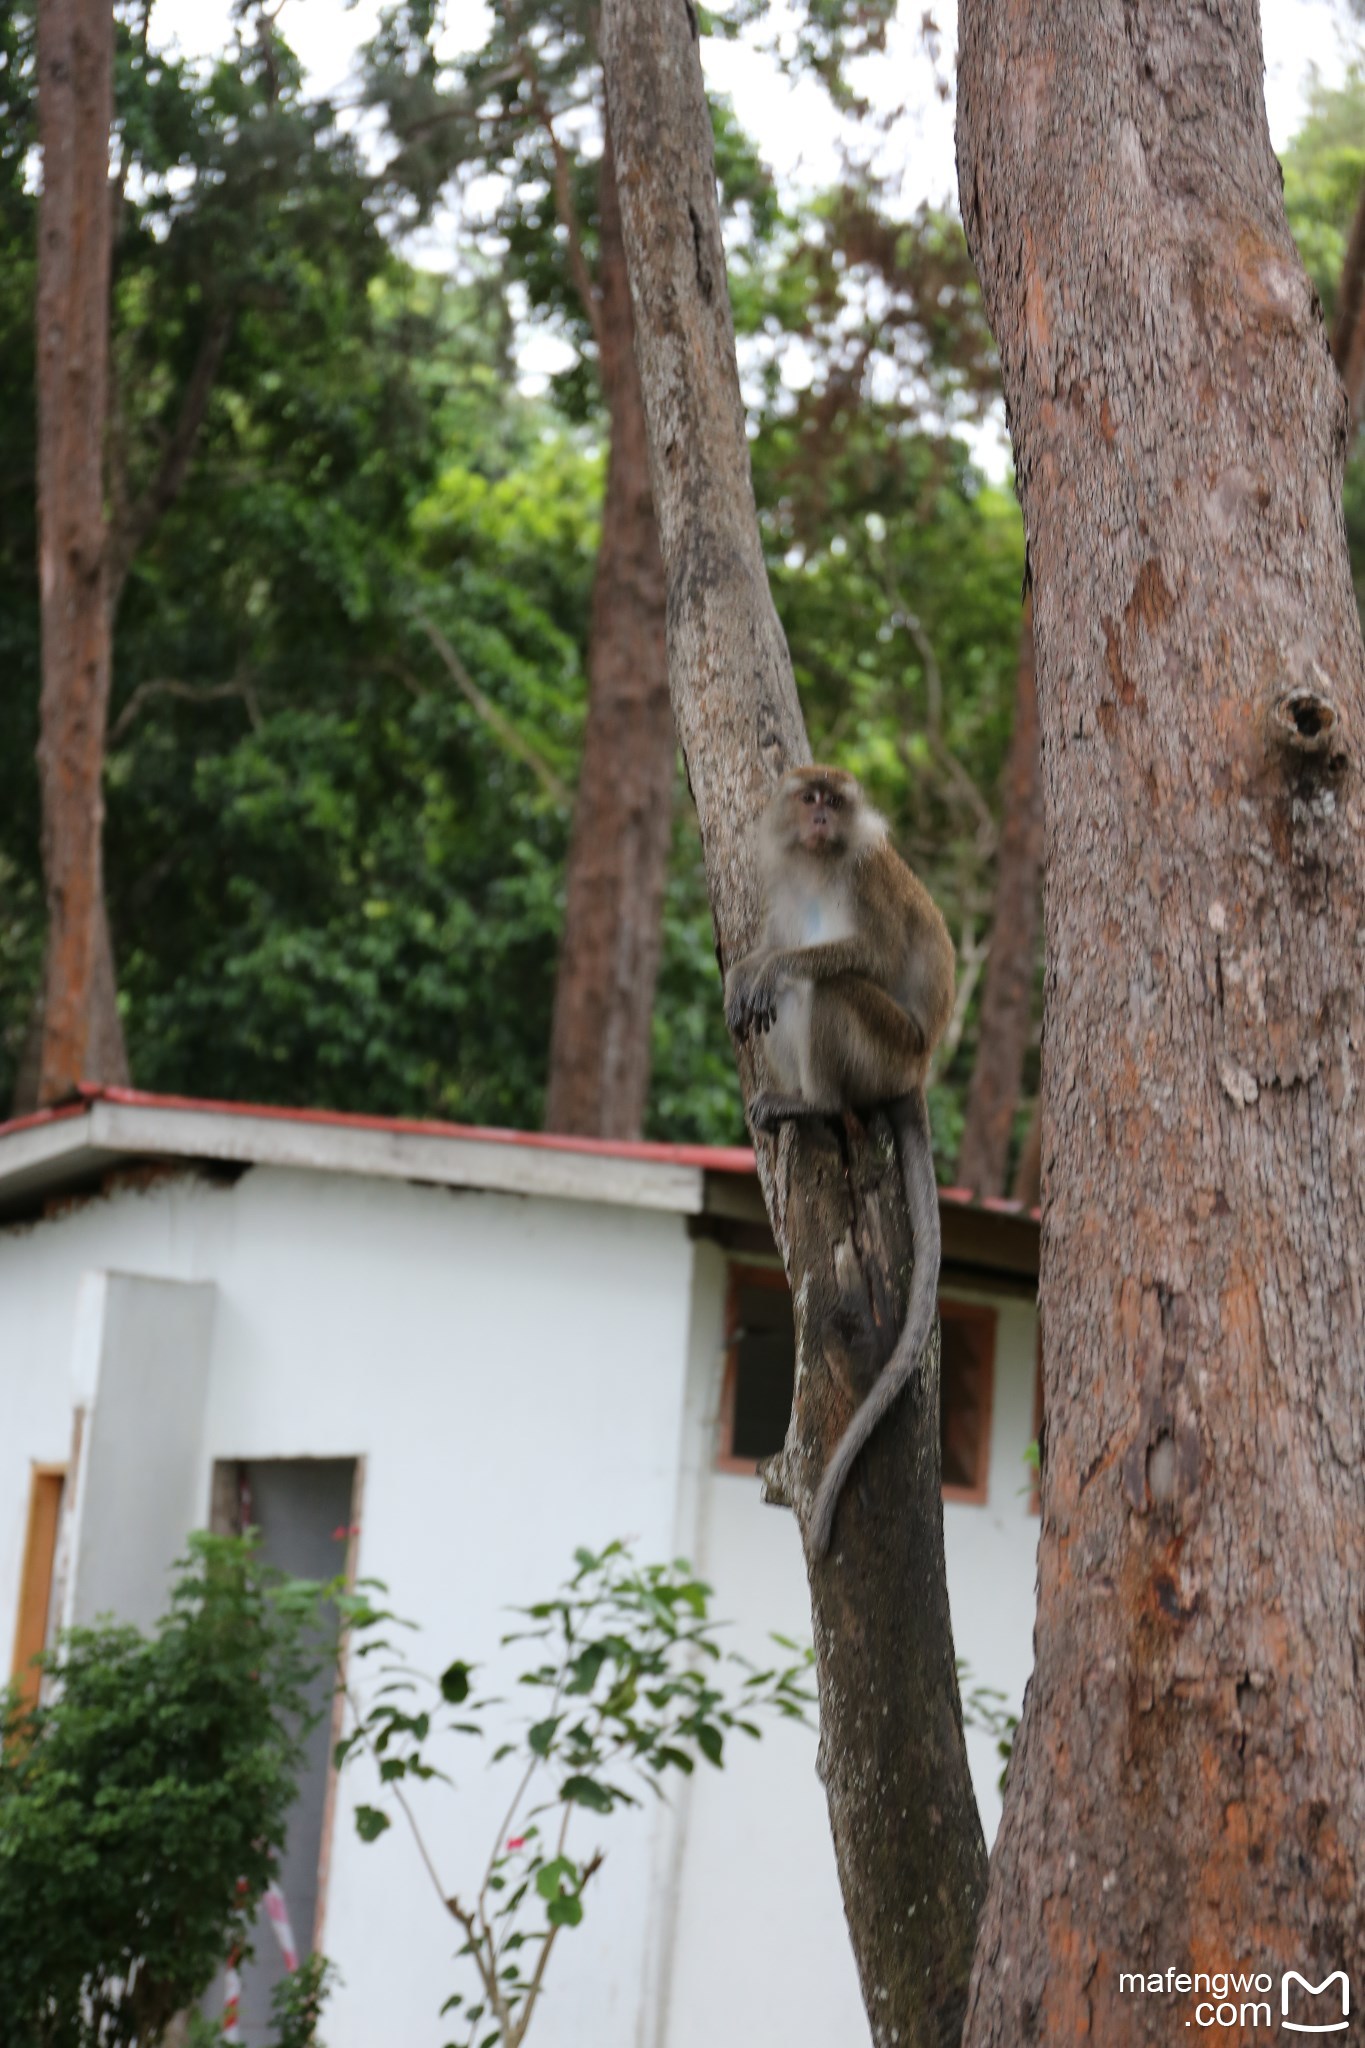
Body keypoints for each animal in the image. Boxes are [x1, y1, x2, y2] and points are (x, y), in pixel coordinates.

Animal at [720, 765, 957, 1548]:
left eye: (834, 799)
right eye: (809, 799)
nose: (822, 818)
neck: (821, 865)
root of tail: (916, 1073)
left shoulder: (865, 876)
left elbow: (867, 957)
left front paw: (766, 962)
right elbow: (760, 972)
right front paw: (745, 970)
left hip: (887, 1050)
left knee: (827, 986)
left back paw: (815, 1101)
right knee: (781, 1005)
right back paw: (793, 1096)